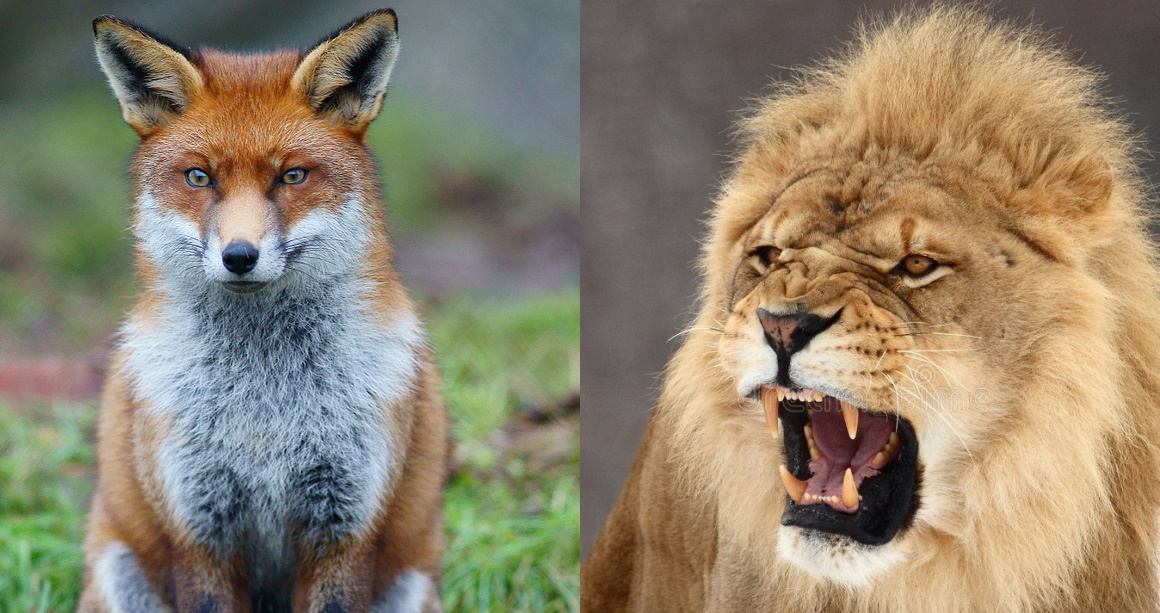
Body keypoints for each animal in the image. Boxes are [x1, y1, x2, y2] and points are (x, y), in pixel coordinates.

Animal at [78, 9, 448, 613]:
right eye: (199, 177)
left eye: (291, 176)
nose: (239, 257)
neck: (264, 406)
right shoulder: (199, 526)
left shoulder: (344, 526)